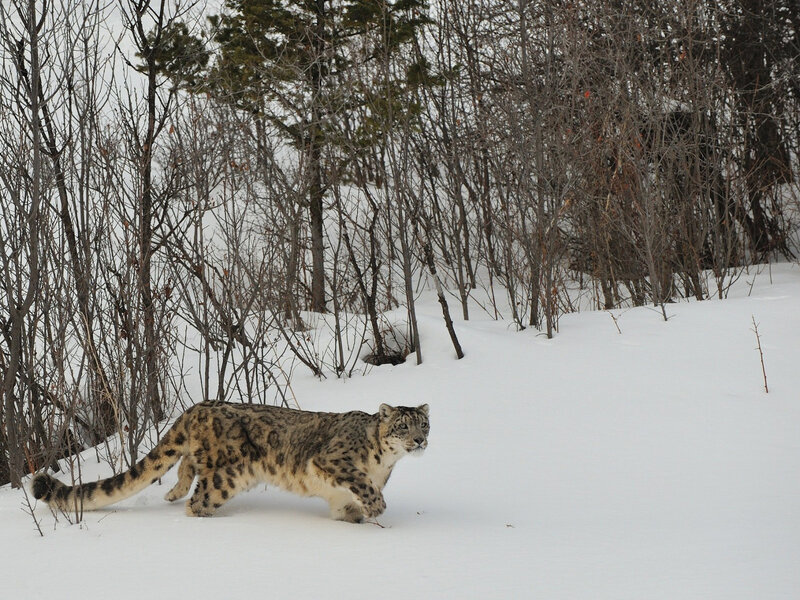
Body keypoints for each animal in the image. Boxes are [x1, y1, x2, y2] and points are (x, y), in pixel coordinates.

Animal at [31, 401, 429, 522]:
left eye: (424, 423)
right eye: (402, 425)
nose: (420, 440)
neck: (385, 464)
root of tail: (197, 407)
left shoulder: (340, 497)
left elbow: (347, 508)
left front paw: (362, 520)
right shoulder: (334, 460)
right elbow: (360, 482)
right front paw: (377, 506)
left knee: (184, 465)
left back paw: (172, 492)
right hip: (228, 475)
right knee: (198, 498)